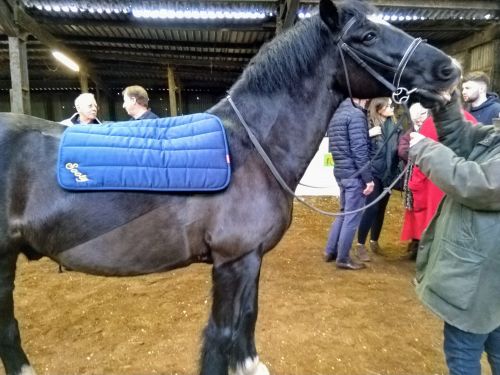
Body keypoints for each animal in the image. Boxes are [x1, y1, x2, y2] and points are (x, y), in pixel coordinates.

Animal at [0, 0, 460, 375]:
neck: (251, 148)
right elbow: (221, 333)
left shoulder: (251, 259)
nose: (449, 70)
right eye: (367, 36)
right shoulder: (232, 262)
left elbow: (247, 320)